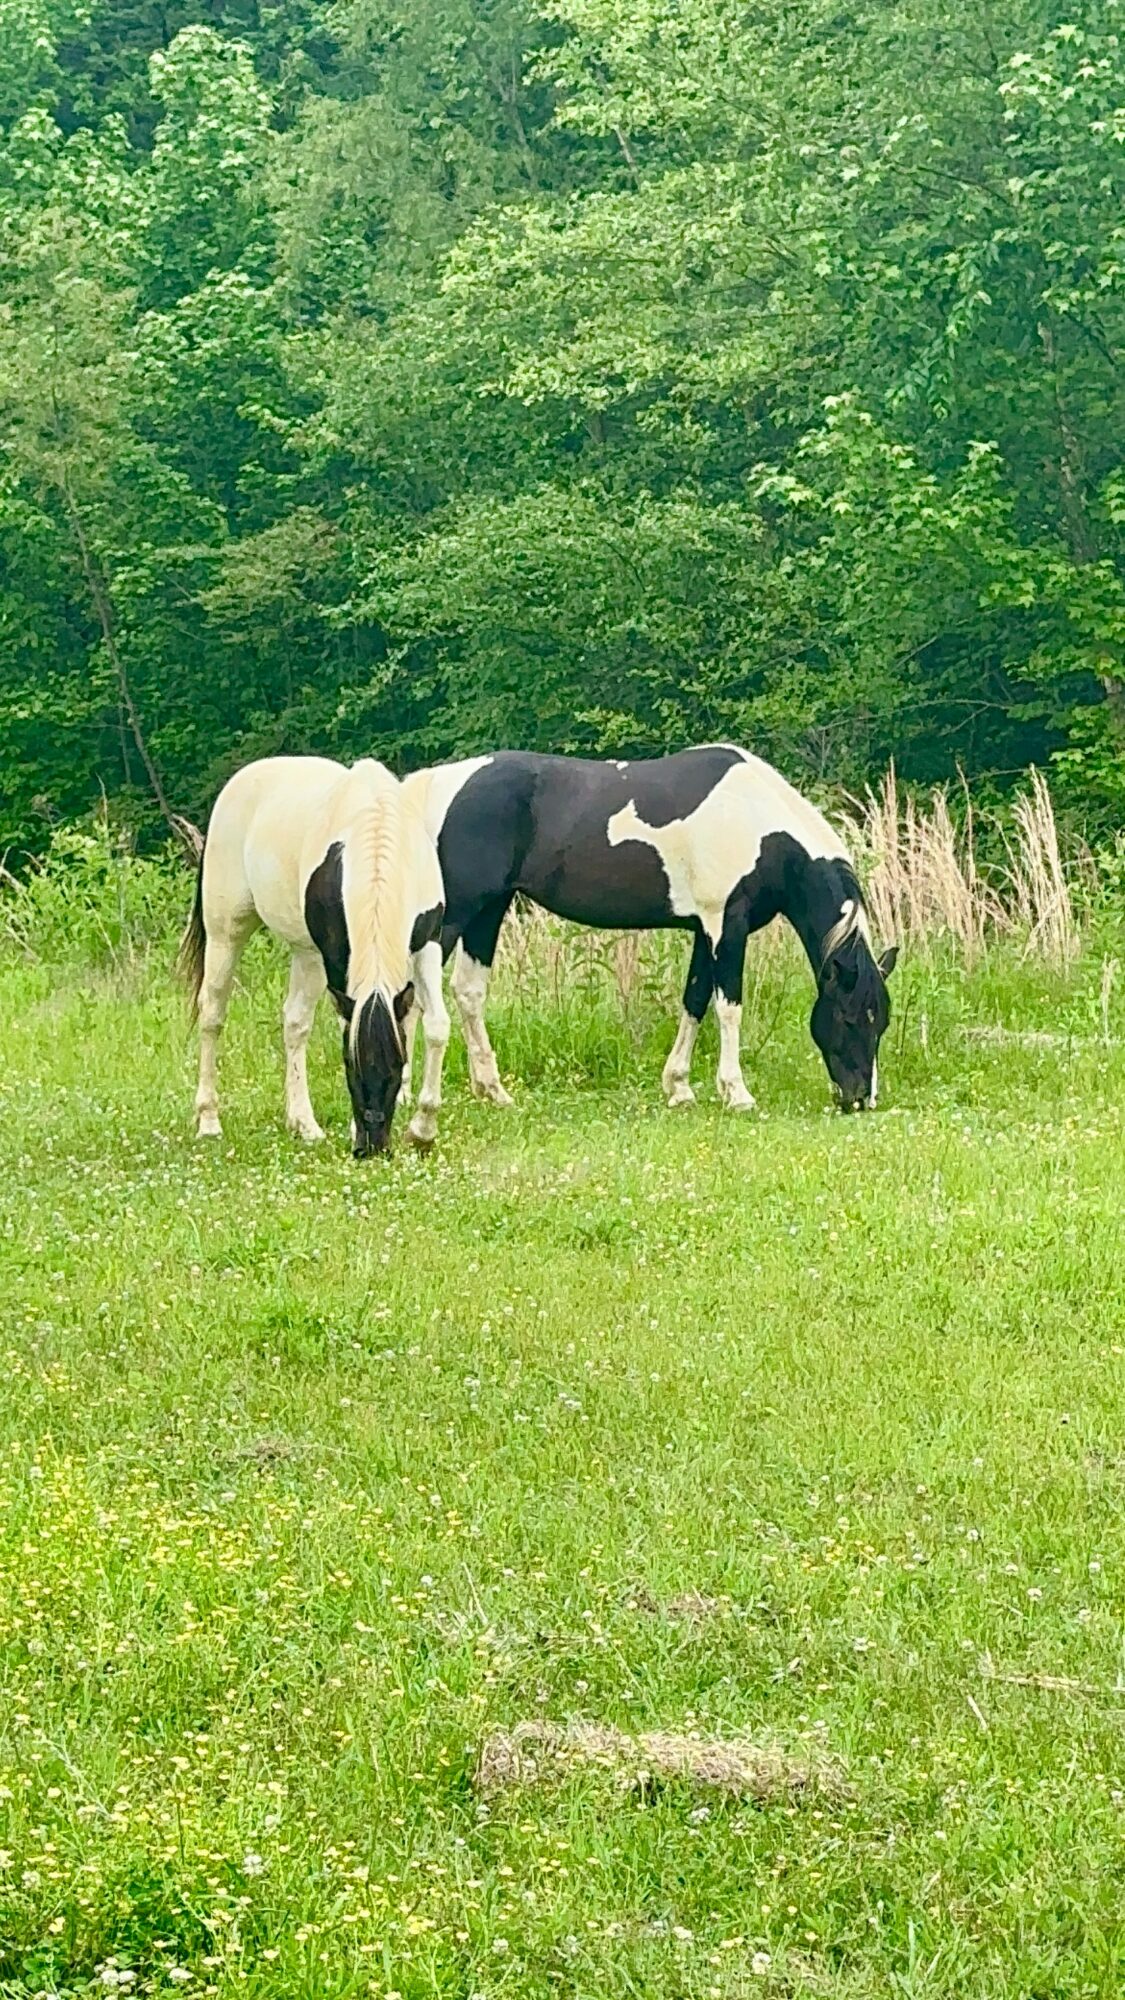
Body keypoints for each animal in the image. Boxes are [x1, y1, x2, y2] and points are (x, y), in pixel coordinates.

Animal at [178, 756, 449, 1156]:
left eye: (399, 1064)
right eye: (350, 1065)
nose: (372, 1146)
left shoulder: (427, 943)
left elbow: (437, 1027)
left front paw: (422, 1129)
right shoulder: (337, 958)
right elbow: (346, 1027)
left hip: (306, 953)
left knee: (294, 1022)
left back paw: (302, 1124)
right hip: (226, 931)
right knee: (212, 1013)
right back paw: (209, 1121)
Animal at [403, 744, 897, 1113]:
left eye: (883, 1022)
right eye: (850, 1017)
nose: (860, 1099)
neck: (756, 823)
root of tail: (432, 787)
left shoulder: (705, 931)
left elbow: (695, 999)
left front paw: (679, 1086)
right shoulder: (727, 926)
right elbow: (729, 1007)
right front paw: (736, 1093)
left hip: (488, 910)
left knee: (467, 991)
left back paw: (492, 1090)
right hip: (454, 915)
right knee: (414, 992)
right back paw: (409, 1094)